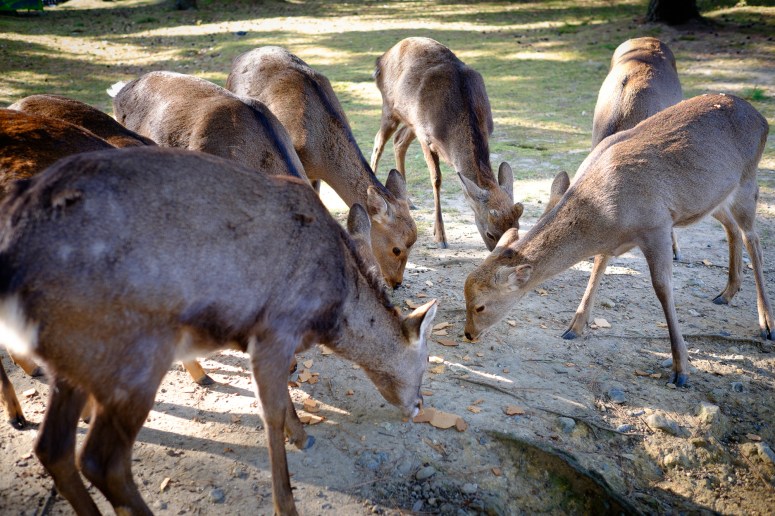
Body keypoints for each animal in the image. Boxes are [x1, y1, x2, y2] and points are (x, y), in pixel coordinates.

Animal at [0, 146, 437, 516]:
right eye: (426, 362)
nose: (418, 407)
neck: (331, 309)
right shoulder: (276, 328)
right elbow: (270, 411)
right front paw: (287, 499)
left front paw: (302, 435)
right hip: (133, 353)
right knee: (102, 460)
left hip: (72, 355)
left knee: (53, 448)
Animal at [370, 37, 523, 251]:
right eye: (490, 234)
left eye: (517, 227)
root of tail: (380, 59)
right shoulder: (426, 137)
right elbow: (436, 179)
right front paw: (441, 236)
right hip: (390, 107)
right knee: (379, 140)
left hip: (410, 120)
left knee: (399, 141)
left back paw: (408, 200)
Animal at [464, 94, 772, 387]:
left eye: (480, 306)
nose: (468, 334)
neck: (607, 213)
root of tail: (762, 119)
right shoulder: (613, 241)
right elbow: (598, 266)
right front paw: (574, 327)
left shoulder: (657, 225)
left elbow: (662, 288)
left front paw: (681, 369)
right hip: (713, 197)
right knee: (732, 228)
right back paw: (727, 293)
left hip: (747, 181)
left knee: (753, 239)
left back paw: (767, 324)